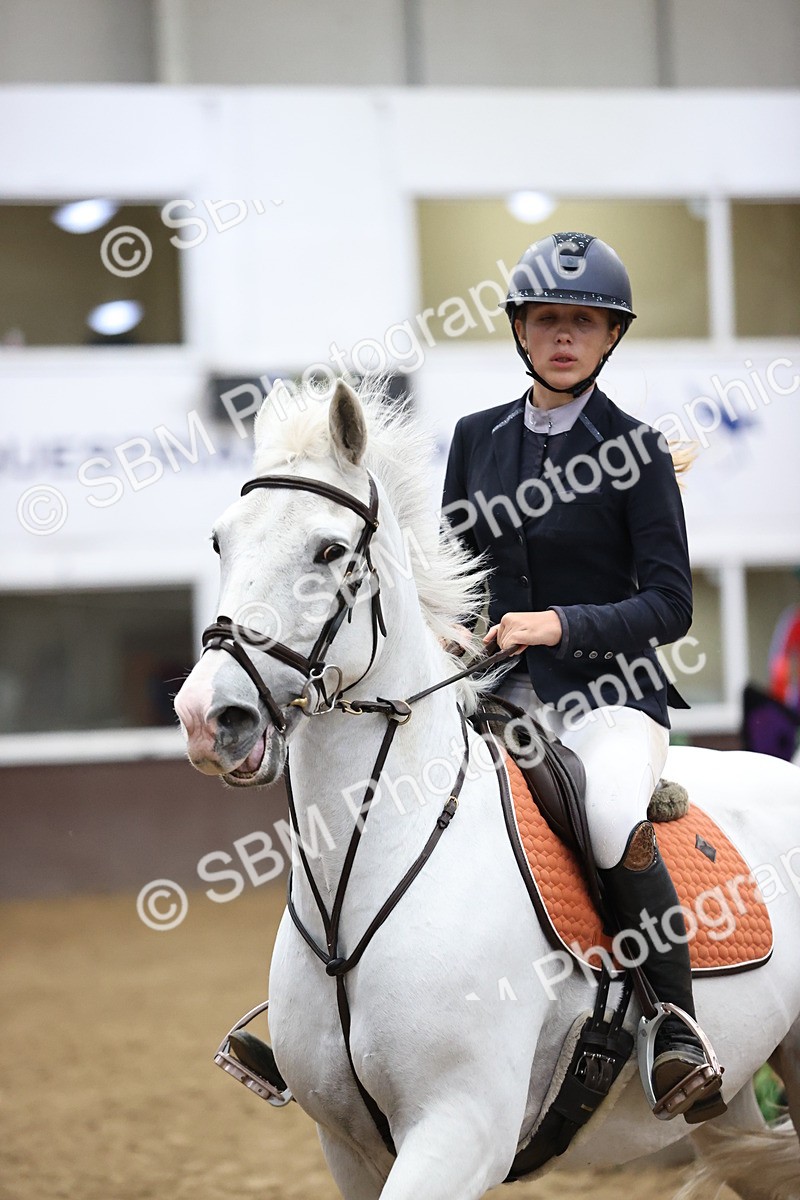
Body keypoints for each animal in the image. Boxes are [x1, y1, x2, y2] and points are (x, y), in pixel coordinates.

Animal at [174, 379, 800, 1200]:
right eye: (220, 541)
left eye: (330, 550)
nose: (209, 718)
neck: (362, 880)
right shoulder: (346, 1147)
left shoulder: (460, 1127)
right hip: (733, 1097)